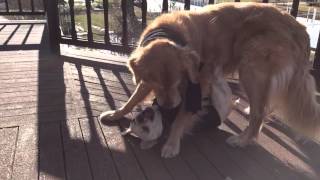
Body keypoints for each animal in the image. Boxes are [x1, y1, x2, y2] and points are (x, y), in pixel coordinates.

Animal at [100, 2, 320, 158]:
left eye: (178, 82)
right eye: (158, 86)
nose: (167, 108)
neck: (168, 32)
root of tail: (300, 28)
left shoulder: (198, 83)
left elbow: (182, 116)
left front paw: (172, 143)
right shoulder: (147, 82)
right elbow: (132, 100)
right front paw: (116, 114)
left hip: (251, 70)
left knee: (259, 114)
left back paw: (243, 140)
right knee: (265, 105)